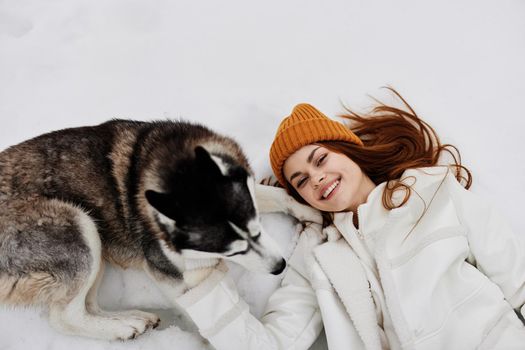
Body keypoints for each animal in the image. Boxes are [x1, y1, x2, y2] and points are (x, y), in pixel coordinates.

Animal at [0, 119, 320, 340]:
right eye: (232, 251)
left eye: (257, 229)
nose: (280, 267)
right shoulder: (164, 266)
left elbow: (276, 196)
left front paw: (310, 211)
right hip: (78, 228)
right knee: (64, 316)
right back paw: (122, 327)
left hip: (94, 238)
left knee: (86, 304)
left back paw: (128, 319)